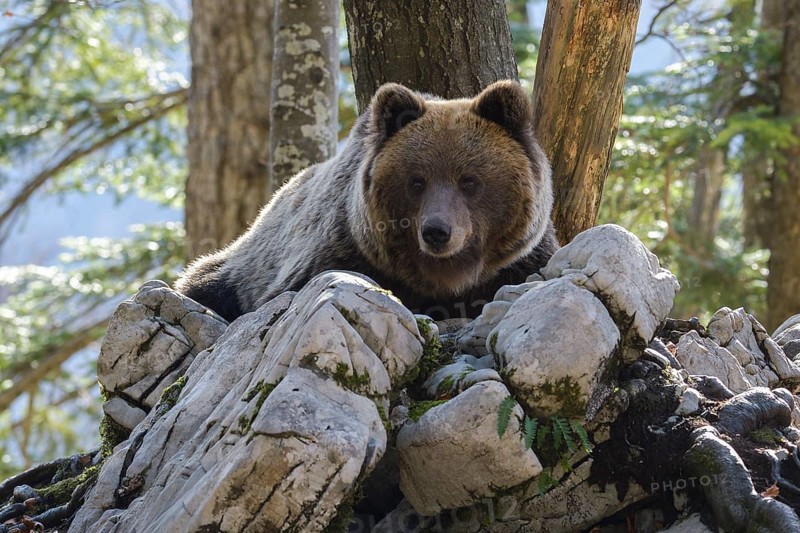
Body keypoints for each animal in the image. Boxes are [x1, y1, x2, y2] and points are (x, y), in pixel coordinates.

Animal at [175, 80, 559, 322]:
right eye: (416, 181)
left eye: (469, 180)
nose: (437, 231)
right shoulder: (340, 251)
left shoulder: (521, 259)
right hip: (239, 267)